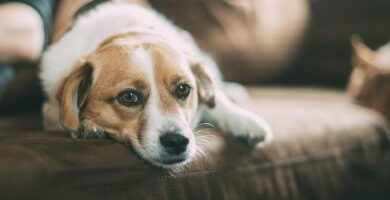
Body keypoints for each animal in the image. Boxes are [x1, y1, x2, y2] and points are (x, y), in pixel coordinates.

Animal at [39, 0, 272, 168]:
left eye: (183, 89)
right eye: (129, 96)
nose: (177, 141)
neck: (127, 31)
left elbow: (218, 102)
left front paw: (244, 121)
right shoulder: (50, 106)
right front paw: (87, 125)